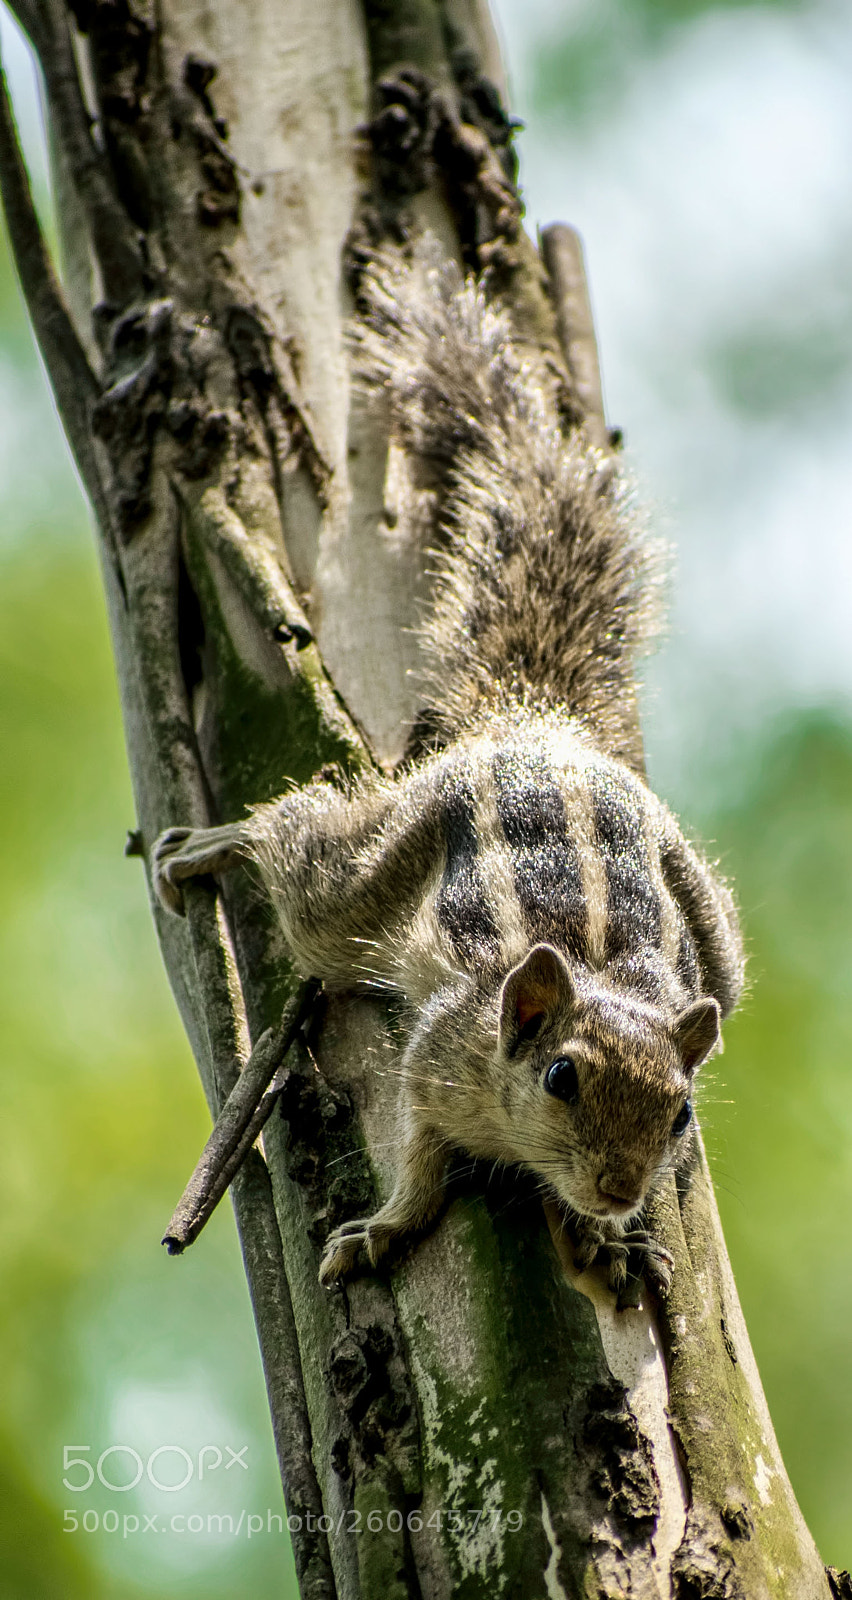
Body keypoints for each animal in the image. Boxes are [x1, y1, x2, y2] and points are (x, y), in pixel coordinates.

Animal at [153, 245, 744, 1298]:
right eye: (562, 1076)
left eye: (681, 1111)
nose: (621, 1186)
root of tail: (538, 728)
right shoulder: (435, 1062)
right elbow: (423, 1163)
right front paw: (383, 1230)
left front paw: (612, 1241)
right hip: (360, 881)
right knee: (299, 848)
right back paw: (216, 842)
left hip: (715, 932)